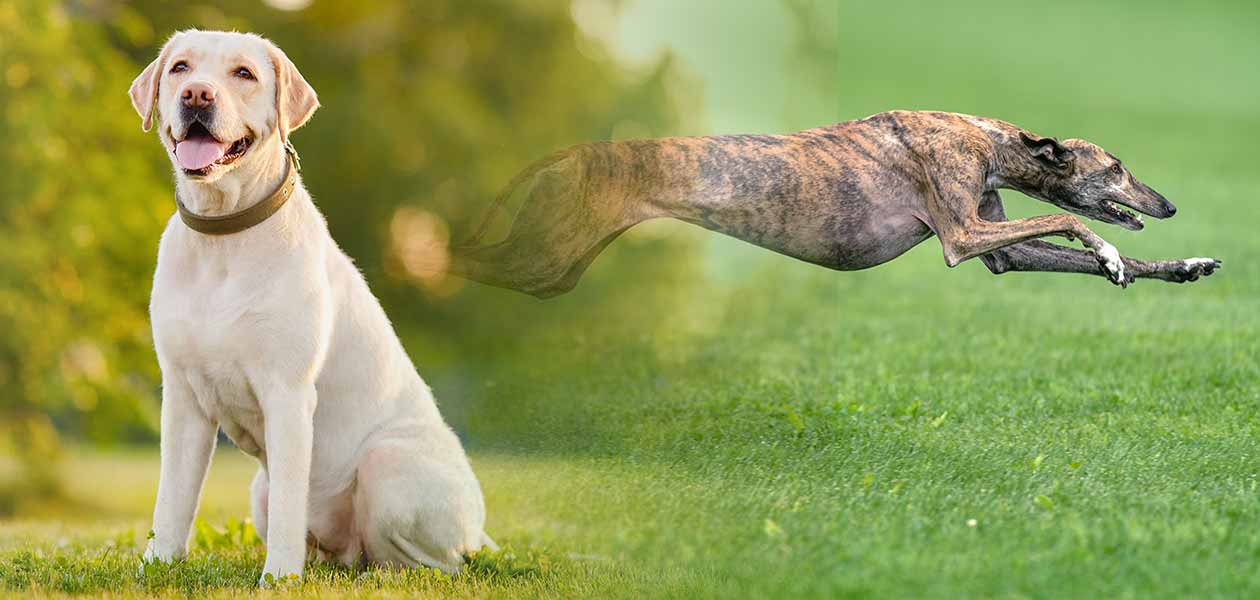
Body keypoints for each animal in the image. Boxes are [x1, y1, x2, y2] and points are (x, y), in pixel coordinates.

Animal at [130, 30, 493, 582]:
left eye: (243, 73)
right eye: (180, 68)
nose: (196, 95)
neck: (222, 236)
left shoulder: (287, 393)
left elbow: (288, 501)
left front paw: (279, 578)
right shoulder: (184, 398)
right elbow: (172, 497)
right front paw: (158, 564)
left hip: (388, 464)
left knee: (430, 561)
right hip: (260, 491)